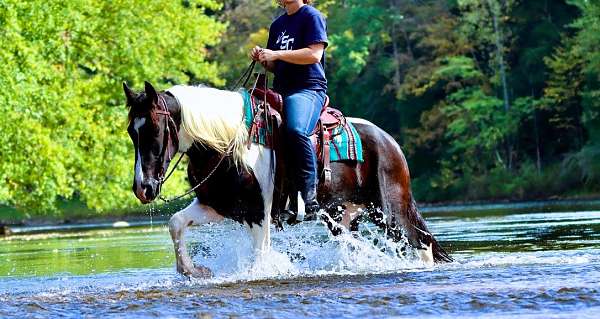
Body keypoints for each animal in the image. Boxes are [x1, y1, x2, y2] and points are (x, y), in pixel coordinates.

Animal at [123, 82, 450, 278]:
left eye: (154, 129)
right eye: (131, 131)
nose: (143, 188)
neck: (228, 144)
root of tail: (390, 142)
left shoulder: (260, 212)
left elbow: (259, 260)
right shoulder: (219, 206)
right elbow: (176, 223)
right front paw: (192, 270)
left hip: (390, 212)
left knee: (421, 245)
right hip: (344, 217)